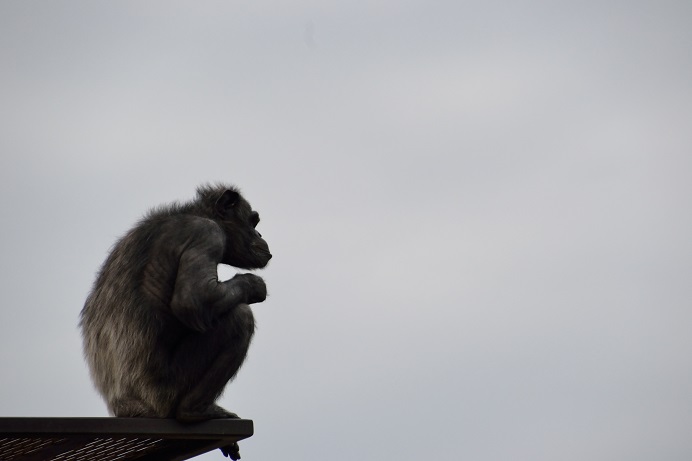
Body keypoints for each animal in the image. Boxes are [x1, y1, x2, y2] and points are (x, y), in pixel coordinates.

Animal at [77, 182, 268, 456]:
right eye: (253, 222)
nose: (260, 235)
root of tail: (130, 409)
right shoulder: (207, 234)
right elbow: (194, 299)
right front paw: (254, 285)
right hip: (164, 393)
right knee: (239, 319)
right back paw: (195, 410)